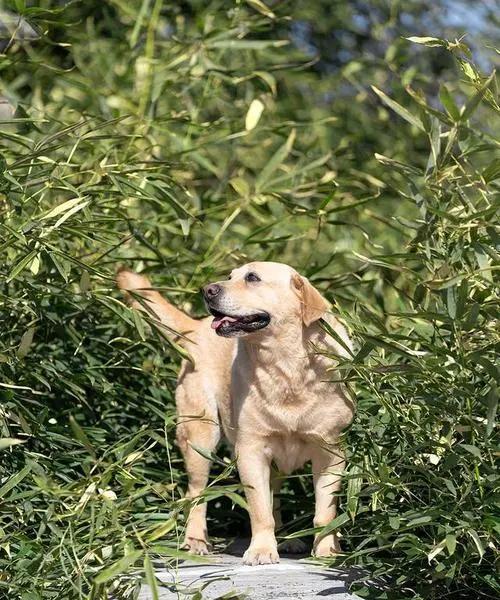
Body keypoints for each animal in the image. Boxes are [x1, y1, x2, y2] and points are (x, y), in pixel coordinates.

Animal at [117, 262, 354, 564]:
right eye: (230, 276)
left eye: (252, 278)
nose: (207, 290)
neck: (286, 366)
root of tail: (196, 326)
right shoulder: (250, 450)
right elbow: (260, 509)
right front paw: (262, 550)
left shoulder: (331, 451)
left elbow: (325, 512)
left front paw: (326, 551)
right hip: (201, 437)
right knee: (196, 493)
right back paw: (195, 541)